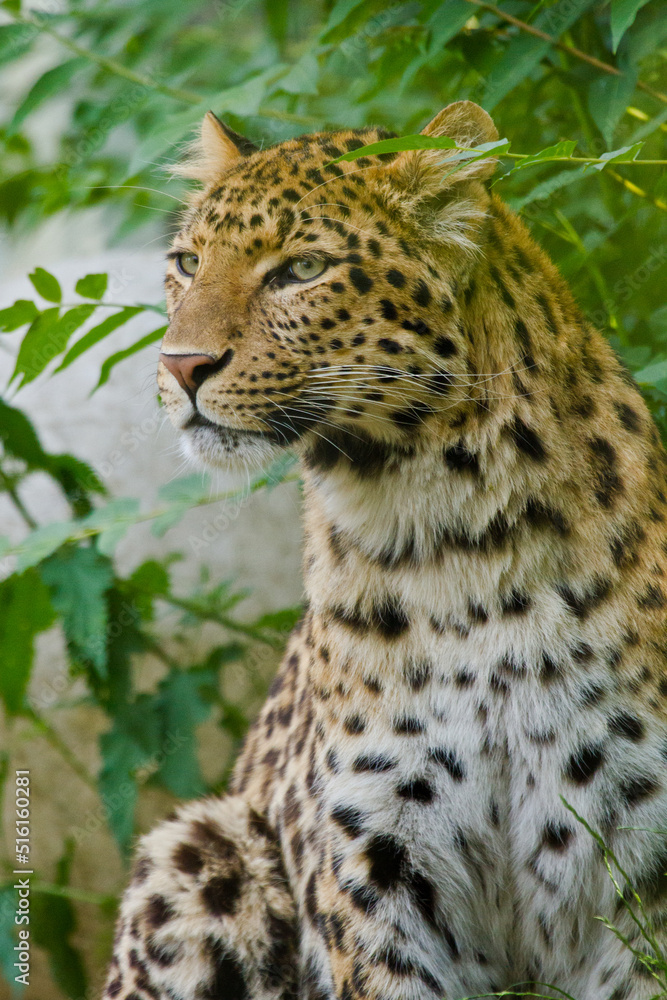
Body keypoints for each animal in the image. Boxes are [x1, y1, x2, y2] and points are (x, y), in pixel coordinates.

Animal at [103, 101, 667, 1000]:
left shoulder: (637, 859)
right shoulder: (380, 865)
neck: (454, 546)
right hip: (193, 846)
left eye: (301, 269)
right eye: (187, 263)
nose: (180, 366)